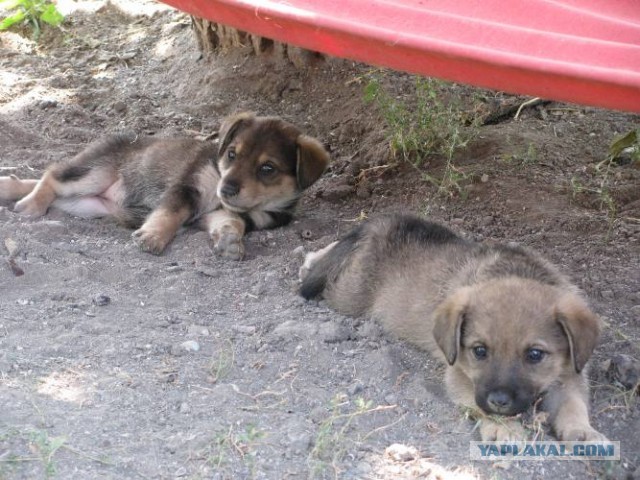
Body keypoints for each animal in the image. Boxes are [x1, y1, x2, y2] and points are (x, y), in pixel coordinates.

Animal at [0, 112, 330, 258]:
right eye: (232, 154)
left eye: (267, 169)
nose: (226, 189)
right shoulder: (186, 188)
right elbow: (170, 213)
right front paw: (153, 237)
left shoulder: (221, 214)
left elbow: (231, 222)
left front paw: (229, 241)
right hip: (96, 173)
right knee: (52, 174)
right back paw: (30, 204)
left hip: (86, 204)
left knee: (50, 185)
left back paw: (9, 187)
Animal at [300, 214, 604, 442]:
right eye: (479, 351)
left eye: (535, 355)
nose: (499, 401)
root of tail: (379, 223)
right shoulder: (460, 375)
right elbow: (480, 407)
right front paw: (503, 428)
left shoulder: (571, 375)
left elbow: (574, 405)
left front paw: (584, 433)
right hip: (345, 295)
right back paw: (308, 263)